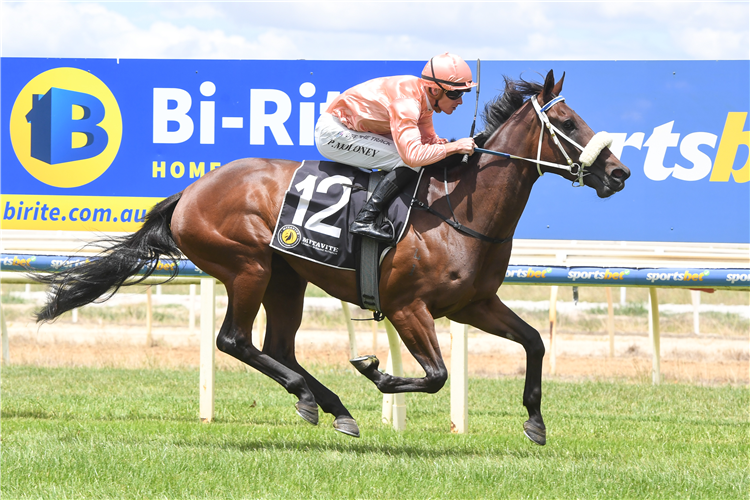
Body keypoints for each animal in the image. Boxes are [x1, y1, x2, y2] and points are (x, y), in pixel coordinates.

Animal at [38, 70, 632, 446]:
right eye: (570, 124)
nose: (620, 172)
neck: (459, 210)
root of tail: (191, 191)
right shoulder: (407, 307)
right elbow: (435, 375)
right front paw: (376, 371)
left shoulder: (473, 304)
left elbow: (533, 342)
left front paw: (535, 422)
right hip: (247, 267)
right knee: (234, 341)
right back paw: (319, 398)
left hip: (286, 277)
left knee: (275, 346)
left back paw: (330, 407)